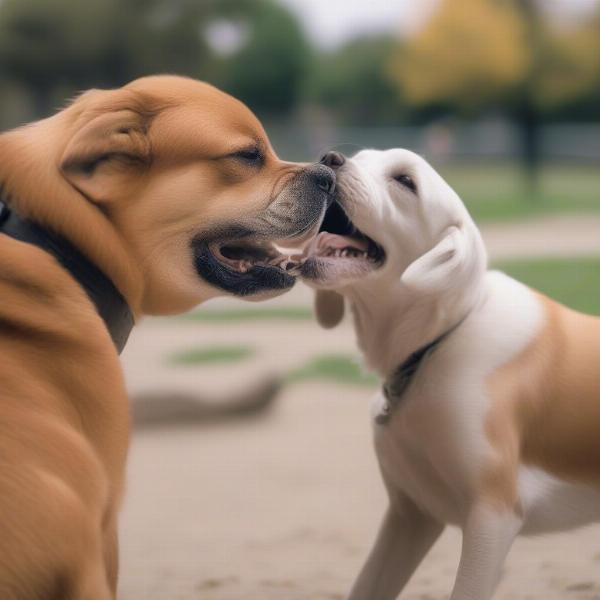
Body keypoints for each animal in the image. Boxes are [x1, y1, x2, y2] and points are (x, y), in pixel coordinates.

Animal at [302, 149, 600, 600]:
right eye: (358, 157)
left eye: (405, 181)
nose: (329, 157)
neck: (439, 341)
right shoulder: (410, 517)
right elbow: (367, 586)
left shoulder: (493, 515)